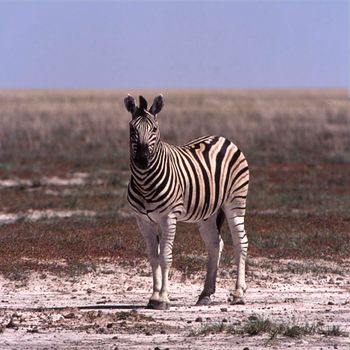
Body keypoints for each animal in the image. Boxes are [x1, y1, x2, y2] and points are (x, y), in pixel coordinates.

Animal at [123, 94, 249, 310]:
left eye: (154, 129)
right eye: (133, 129)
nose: (142, 160)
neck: (145, 182)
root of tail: (223, 138)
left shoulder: (168, 217)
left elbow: (165, 256)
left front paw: (162, 298)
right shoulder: (143, 220)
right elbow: (153, 256)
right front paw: (153, 297)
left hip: (235, 202)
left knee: (241, 242)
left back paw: (238, 294)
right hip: (208, 212)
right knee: (215, 244)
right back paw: (205, 294)